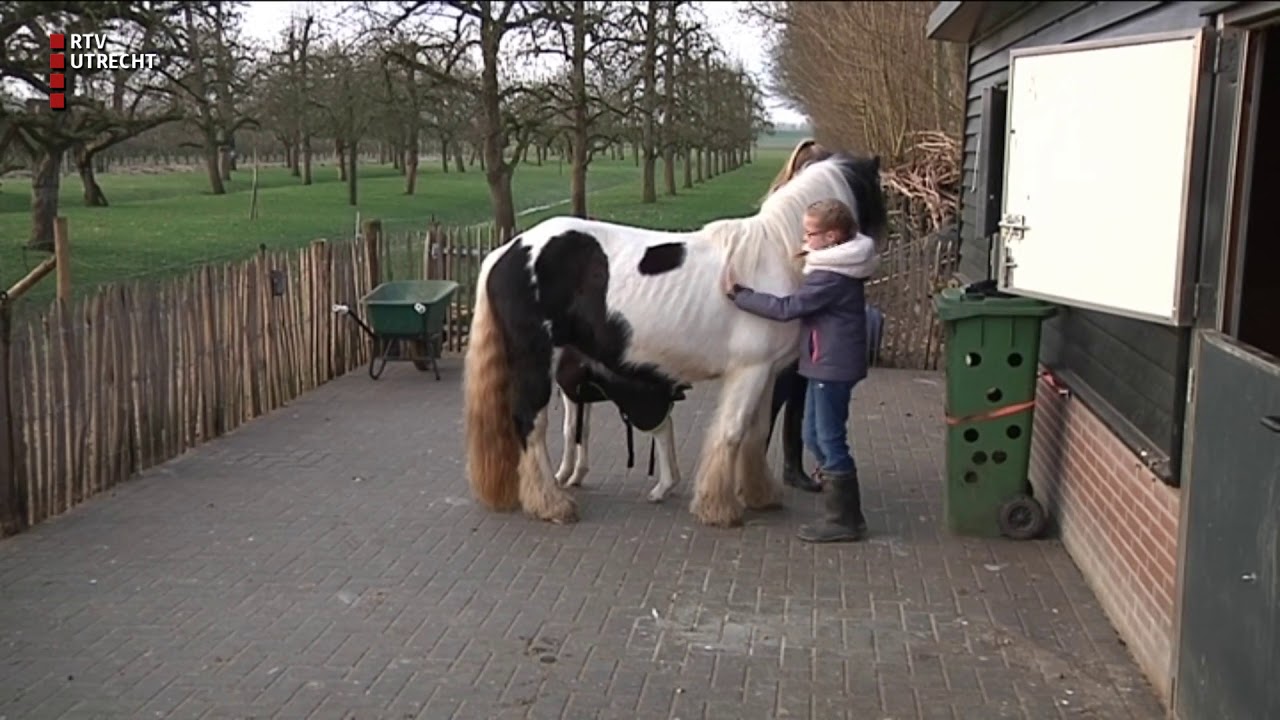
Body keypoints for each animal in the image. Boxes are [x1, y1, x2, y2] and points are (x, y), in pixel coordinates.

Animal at [462, 151, 887, 527]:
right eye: (879, 194)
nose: (876, 249)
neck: (774, 257)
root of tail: (507, 250)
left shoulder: (766, 373)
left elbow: (755, 433)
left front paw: (759, 495)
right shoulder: (749, 371)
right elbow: (731, 433)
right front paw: (718, 508)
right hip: (536, 361)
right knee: (530, 423)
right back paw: (551, 504)